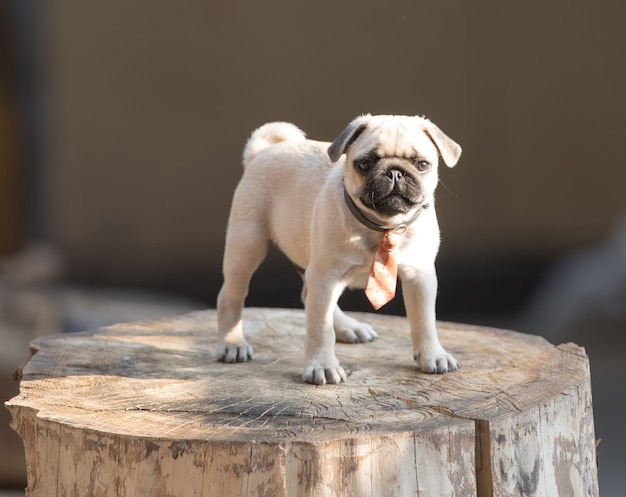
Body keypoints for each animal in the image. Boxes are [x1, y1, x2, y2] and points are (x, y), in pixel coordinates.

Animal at [217, 115, 460, 384]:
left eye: (422, 164)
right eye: (365, 163)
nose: (395, 172)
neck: (382, 226)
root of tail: (261, 152)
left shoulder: (420, 275)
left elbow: (424, 319)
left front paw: (432, 355)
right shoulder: (325, 276)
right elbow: (319, 328)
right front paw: (322, 365)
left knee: (309, 296)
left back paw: (348, 327)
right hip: (247, 245)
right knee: (231, 297)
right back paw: (232, 343)